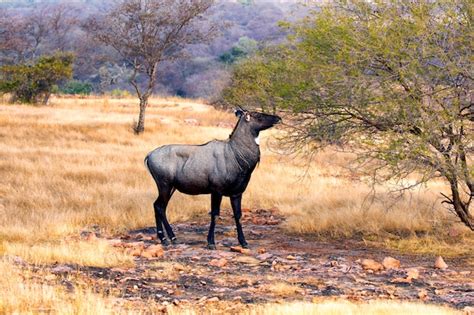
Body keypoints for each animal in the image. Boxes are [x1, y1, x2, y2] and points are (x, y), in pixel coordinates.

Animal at [144, 110, 282, 251]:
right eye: (258, 115)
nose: (278, 118)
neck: (234, 153)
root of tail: (149, 155)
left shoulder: (236, 193)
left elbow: (238, 215)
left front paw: (244, 242)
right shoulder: (216, 191)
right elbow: (215, 214)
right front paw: (211, 243)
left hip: (171, 188)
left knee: (159, 206)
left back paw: (170, 238)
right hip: (164, 185)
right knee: (159, 206)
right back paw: (167, 239)